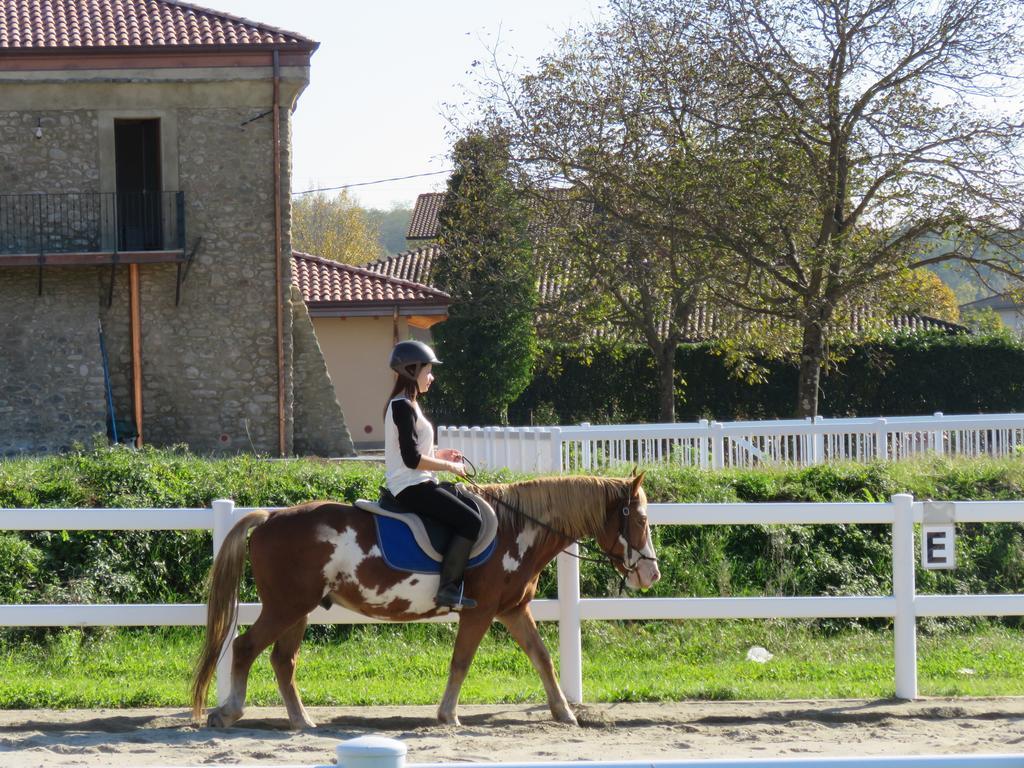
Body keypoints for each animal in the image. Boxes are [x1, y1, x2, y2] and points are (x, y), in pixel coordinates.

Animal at [189, 473, 659, 729]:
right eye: (638, 519)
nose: (650, 574)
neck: (516, 527)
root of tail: (271, 517)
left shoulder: (512, 610)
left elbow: (542, 657)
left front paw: (564, 713)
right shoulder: (481, 611)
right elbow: (462, 661)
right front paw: (448, 715)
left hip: (299, 611)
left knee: (282, 661)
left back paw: (301, 721)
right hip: (285, 607)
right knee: (245, 647)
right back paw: (229, 712)